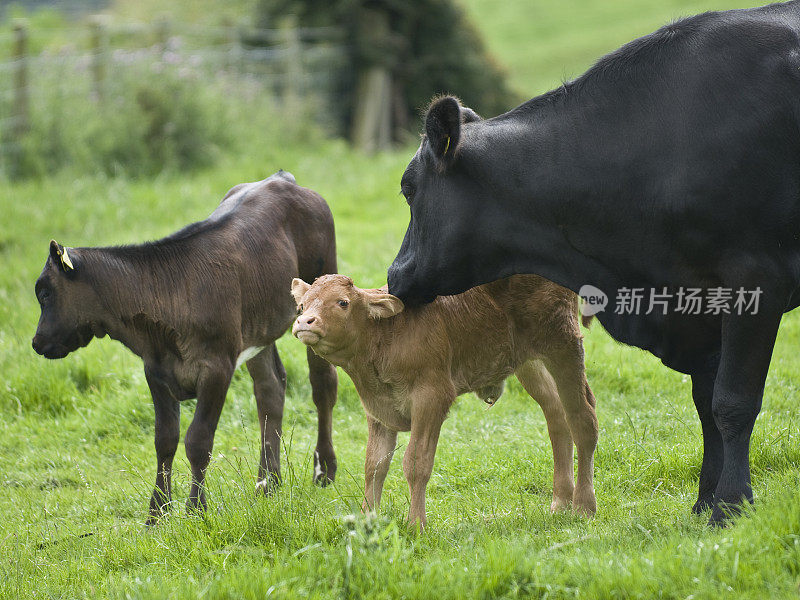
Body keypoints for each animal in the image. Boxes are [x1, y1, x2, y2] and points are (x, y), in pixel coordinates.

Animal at [30, 171, 338, 524]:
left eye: (46, 293)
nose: (37, 342)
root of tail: (281, 178)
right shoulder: (156, 370)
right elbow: (165, 439)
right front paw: (156, 515)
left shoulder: (218, 367)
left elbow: (198, 440)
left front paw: (195, 509)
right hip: (257, 330)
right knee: (270, 389)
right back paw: (267, 483)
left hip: (319, 287)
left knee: (322, 384)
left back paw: (324, 470)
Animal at [290, 274, 596, 528]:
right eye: (302, 306)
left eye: (342, 302)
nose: (304, 322)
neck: (386, 336)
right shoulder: (377, 409)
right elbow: (374, 466)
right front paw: (368, 521)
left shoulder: (432, 397)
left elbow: (416, 463)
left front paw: (416, 524)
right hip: (529, 362)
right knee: (557, 416)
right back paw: (560, 501)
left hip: (564, 343)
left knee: (583, 420)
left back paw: (583, 506)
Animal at [390, 1, 800, 524]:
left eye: (408, 189)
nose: (394, 276)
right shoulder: (697, 302)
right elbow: (706, 402)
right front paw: (705, 500)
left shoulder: (757, 277)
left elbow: (732, 402)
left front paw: (729, 504)